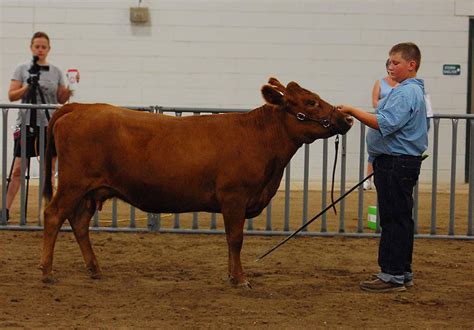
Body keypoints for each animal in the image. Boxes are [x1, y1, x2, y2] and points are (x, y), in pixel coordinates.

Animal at [40, 77, 352, 286]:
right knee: (53, 215)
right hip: (73, 184)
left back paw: (95, 269)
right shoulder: (234, 198)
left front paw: (231, 275)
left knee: (79, 222)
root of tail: (79, 107)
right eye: (311, 102)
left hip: (90, 190)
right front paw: (240, 279)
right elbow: (235, 239)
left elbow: (231, 240)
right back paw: (47, 272)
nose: (347, 119)